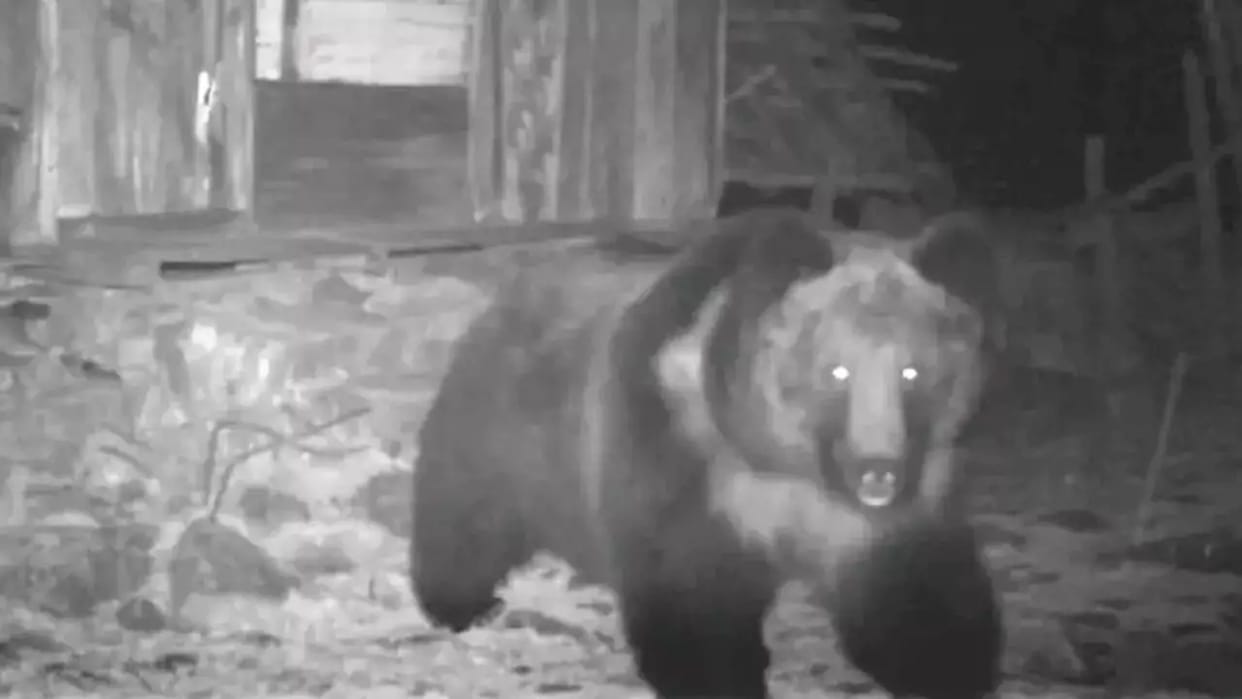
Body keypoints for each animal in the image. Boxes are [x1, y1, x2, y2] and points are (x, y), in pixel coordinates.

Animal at [408, 207, 1001, 698]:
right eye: (837, 370)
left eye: (914, 371)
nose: (878, 468)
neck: (783, 461)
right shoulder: (679, 457)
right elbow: (694, 600)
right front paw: (722, 676)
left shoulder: (892, 508)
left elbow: (913, 595)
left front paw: (949, 664)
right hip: (507, 426)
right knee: (465, 515)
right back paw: (462, 603)